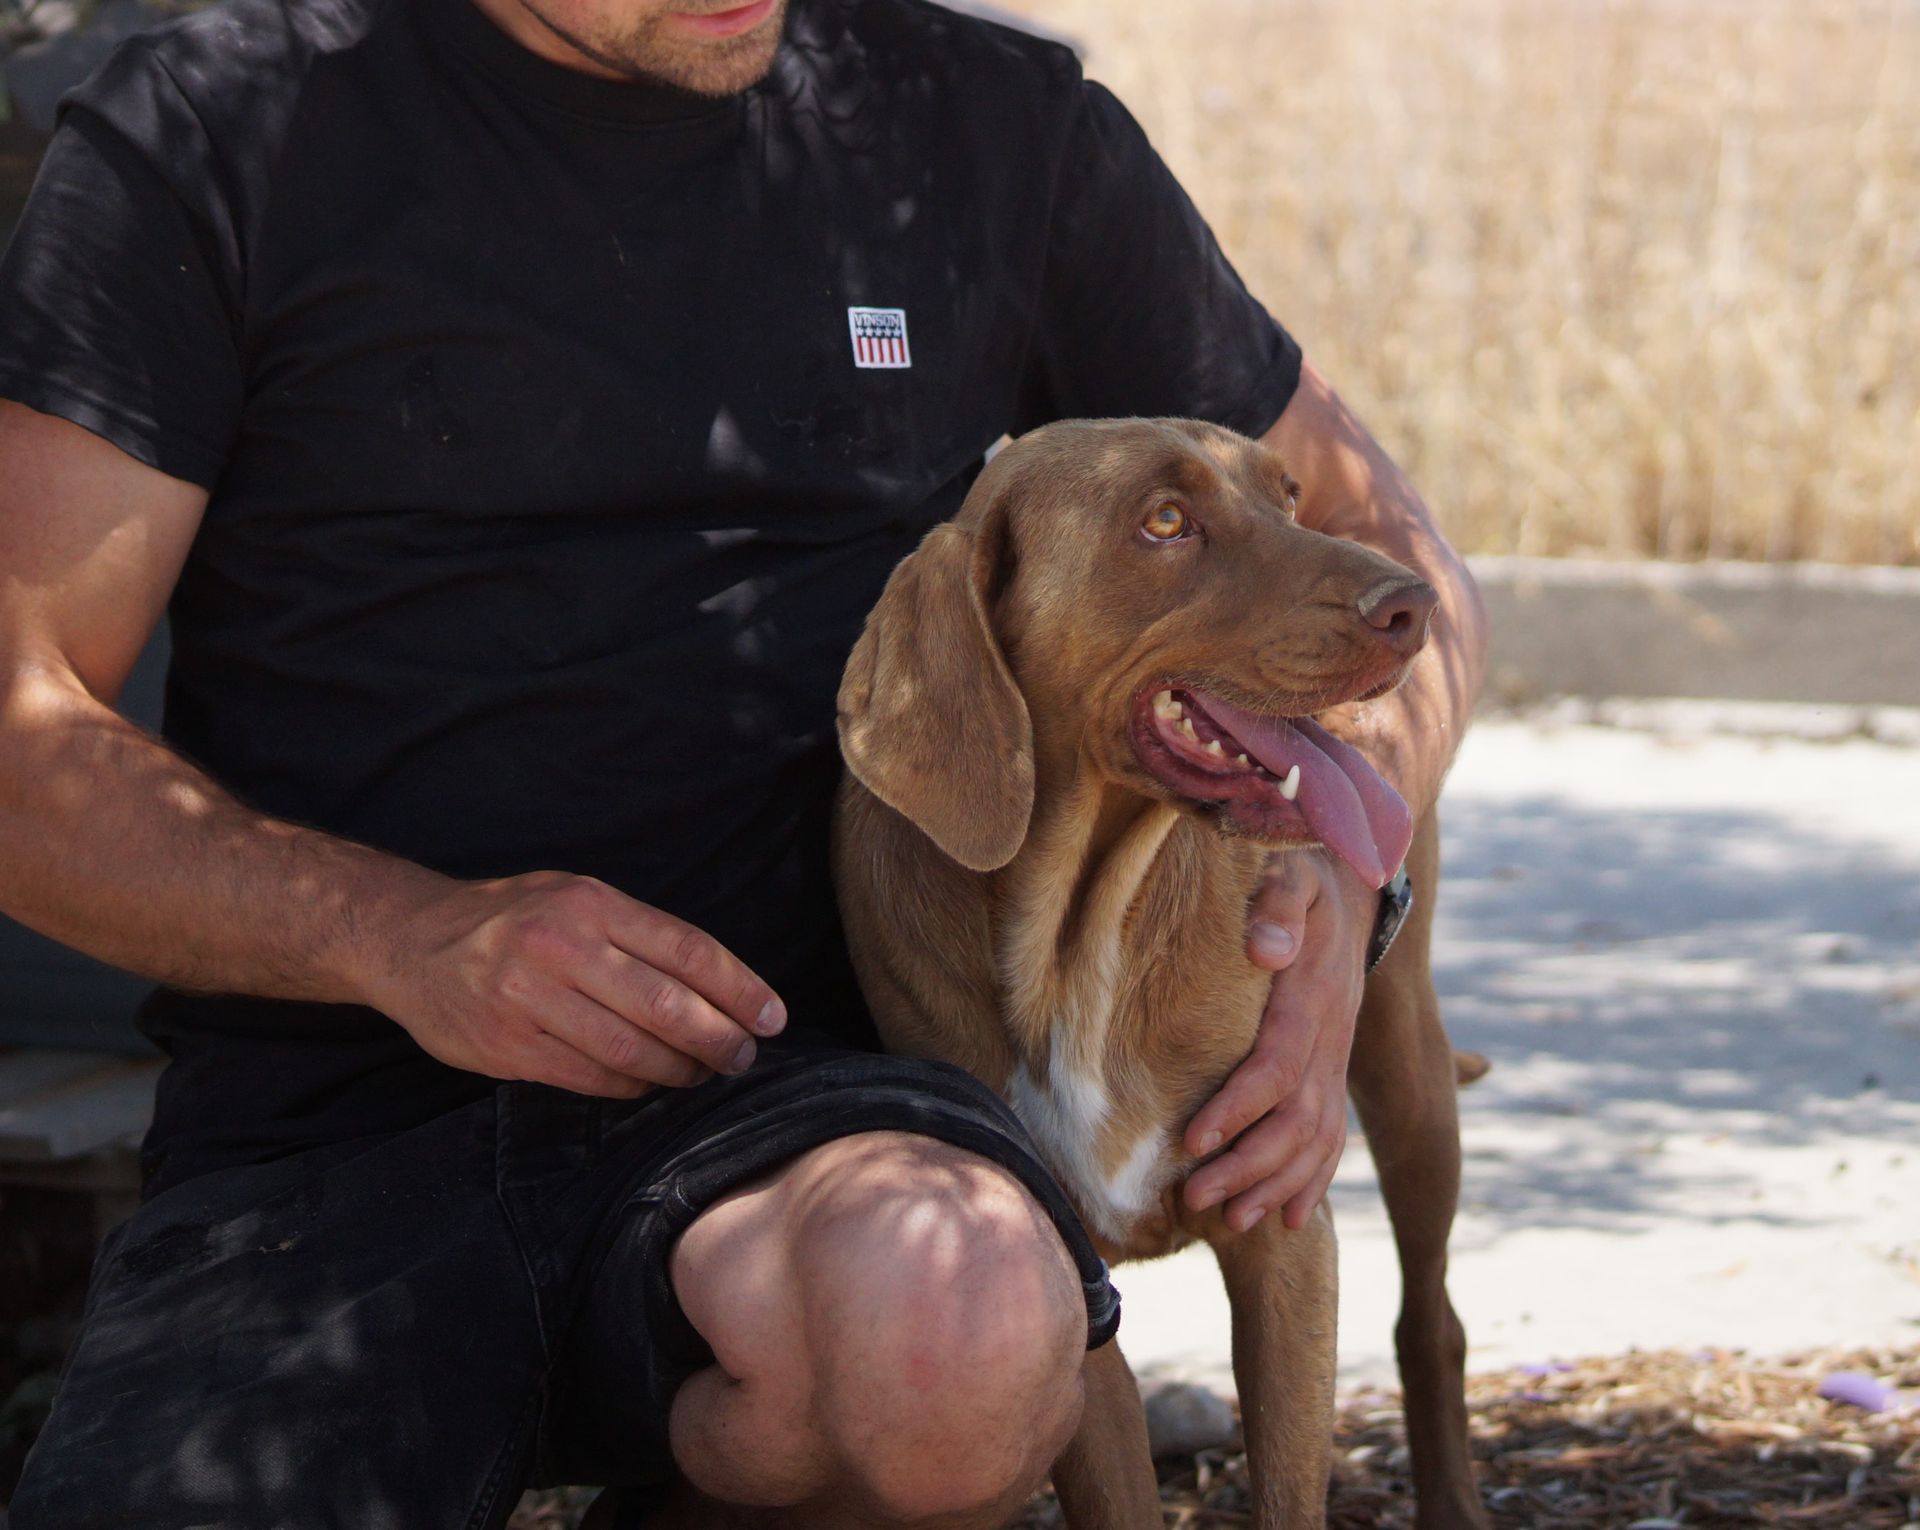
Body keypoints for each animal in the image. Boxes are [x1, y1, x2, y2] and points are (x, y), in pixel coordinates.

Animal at [832, 418, 1487, 1529]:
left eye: (1290, 492)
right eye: (1166, 522)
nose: (1414, 607)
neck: (1077, 945)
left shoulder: (1284, 1235)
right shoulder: (1073, 1307)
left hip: (1404, 1065)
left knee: (1430, 1319)